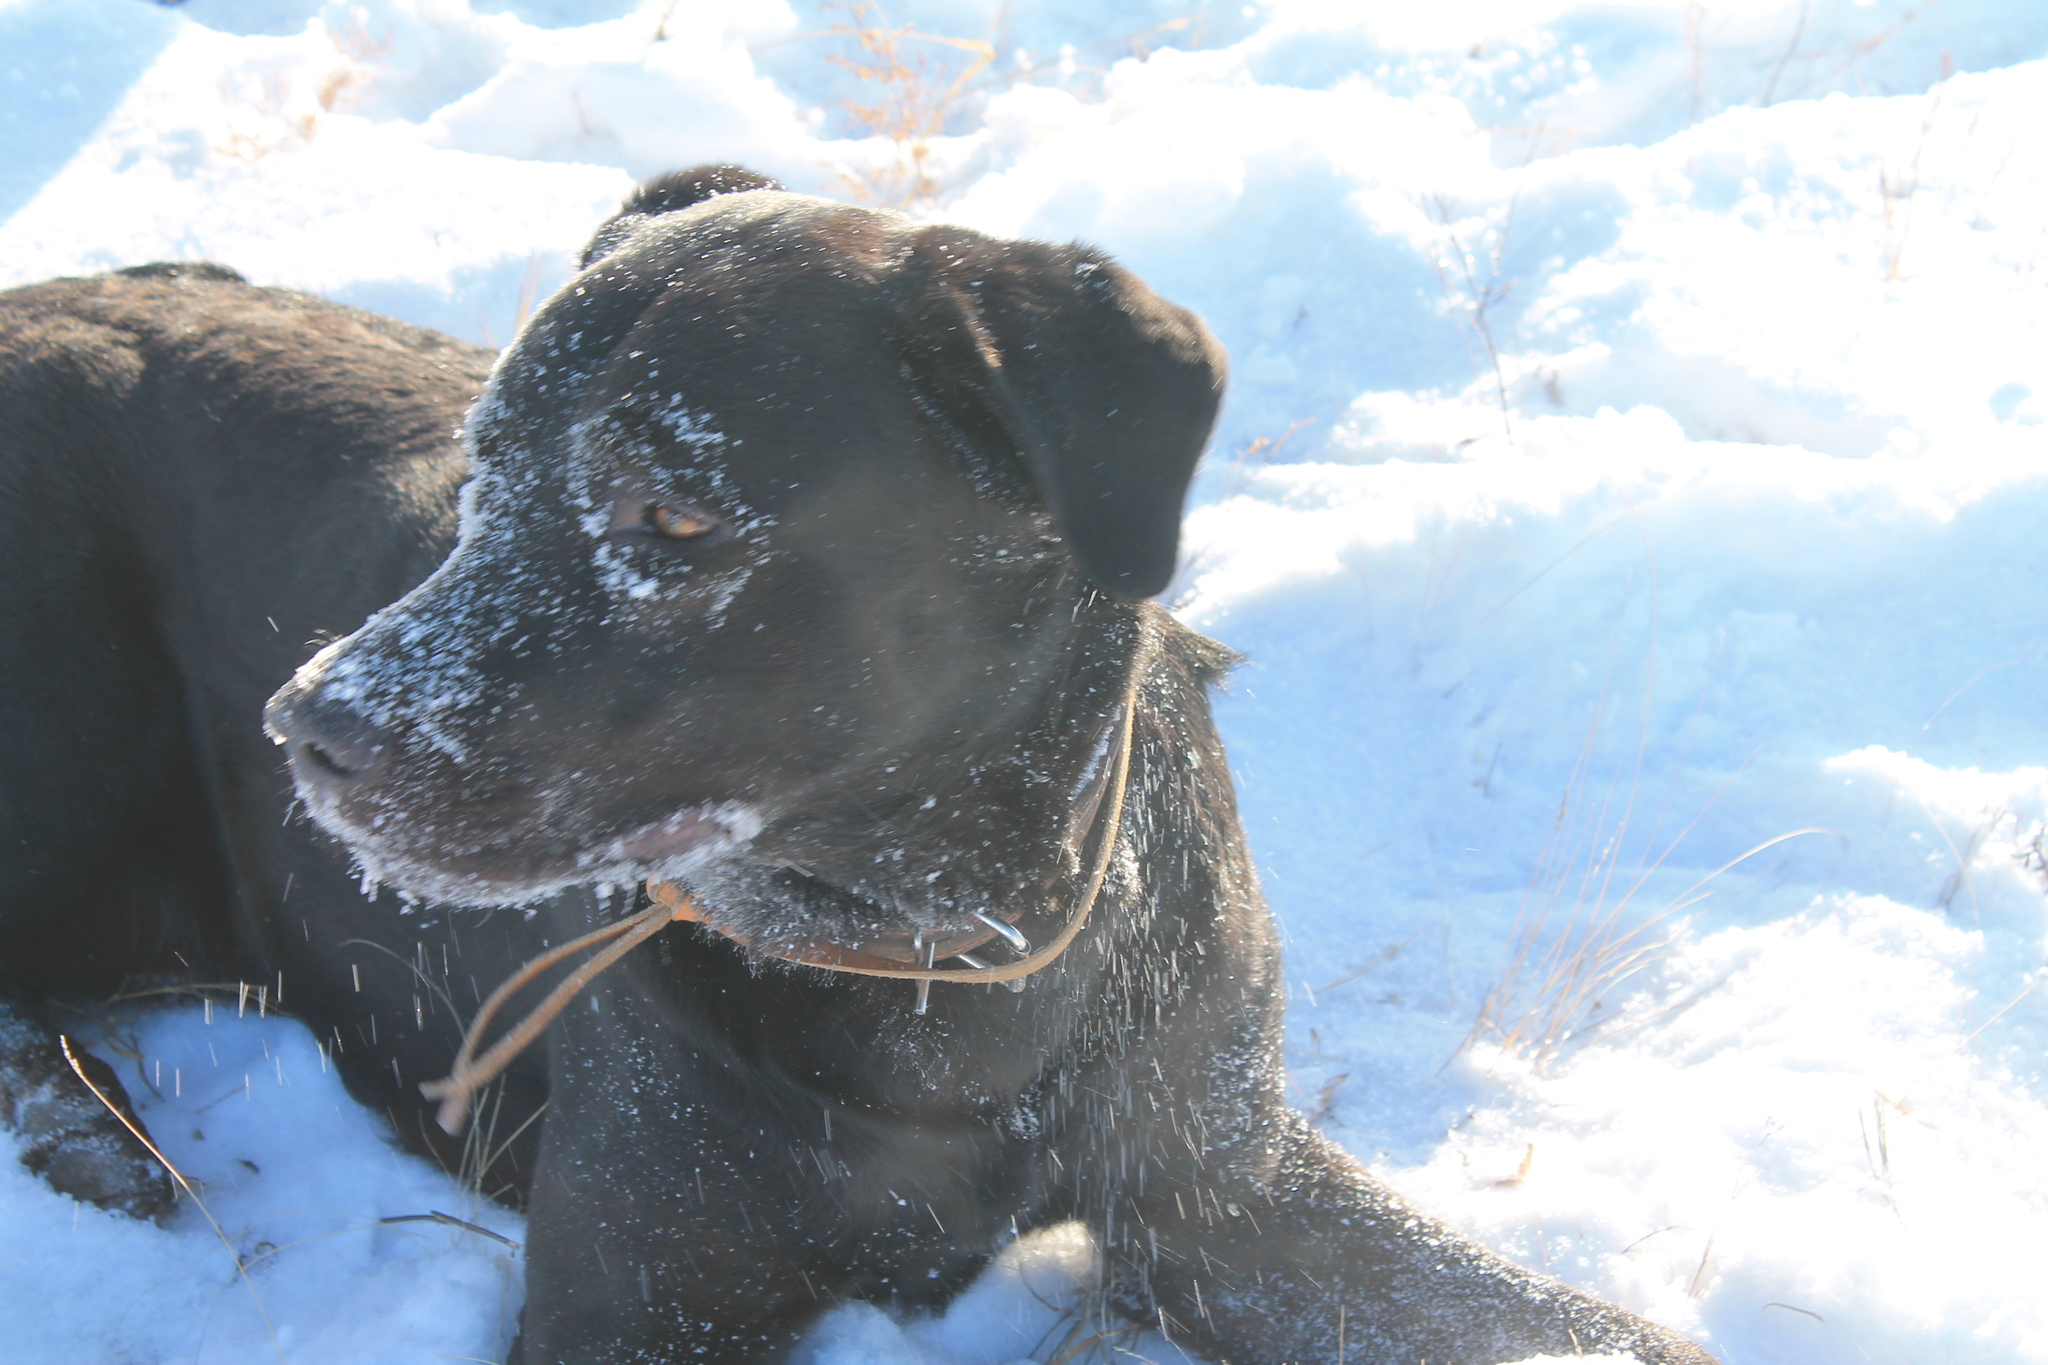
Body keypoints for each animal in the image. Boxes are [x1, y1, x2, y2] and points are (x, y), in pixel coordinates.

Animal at [0, 167, 1718, 1364]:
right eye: (480, 472)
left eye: (674, 513)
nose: (312, 728)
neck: (938, 946)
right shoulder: (644, 1296)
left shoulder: (1223, 1195)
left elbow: (1576, 1324)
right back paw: (88, 1135)